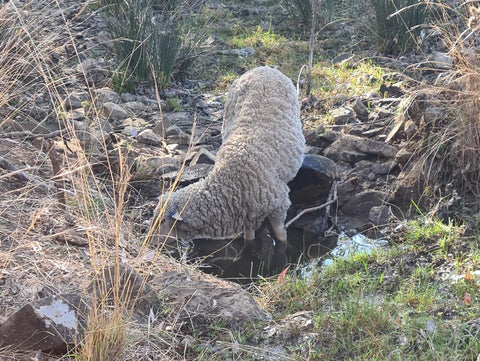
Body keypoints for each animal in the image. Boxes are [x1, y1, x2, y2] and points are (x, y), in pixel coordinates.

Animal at [152, 66, 306, 253]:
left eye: (162, 221)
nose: (150, 244)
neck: (230, 182)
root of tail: (263, 68)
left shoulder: (279, 205)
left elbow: (280, 236)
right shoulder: (247, 214)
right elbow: (249, 237)